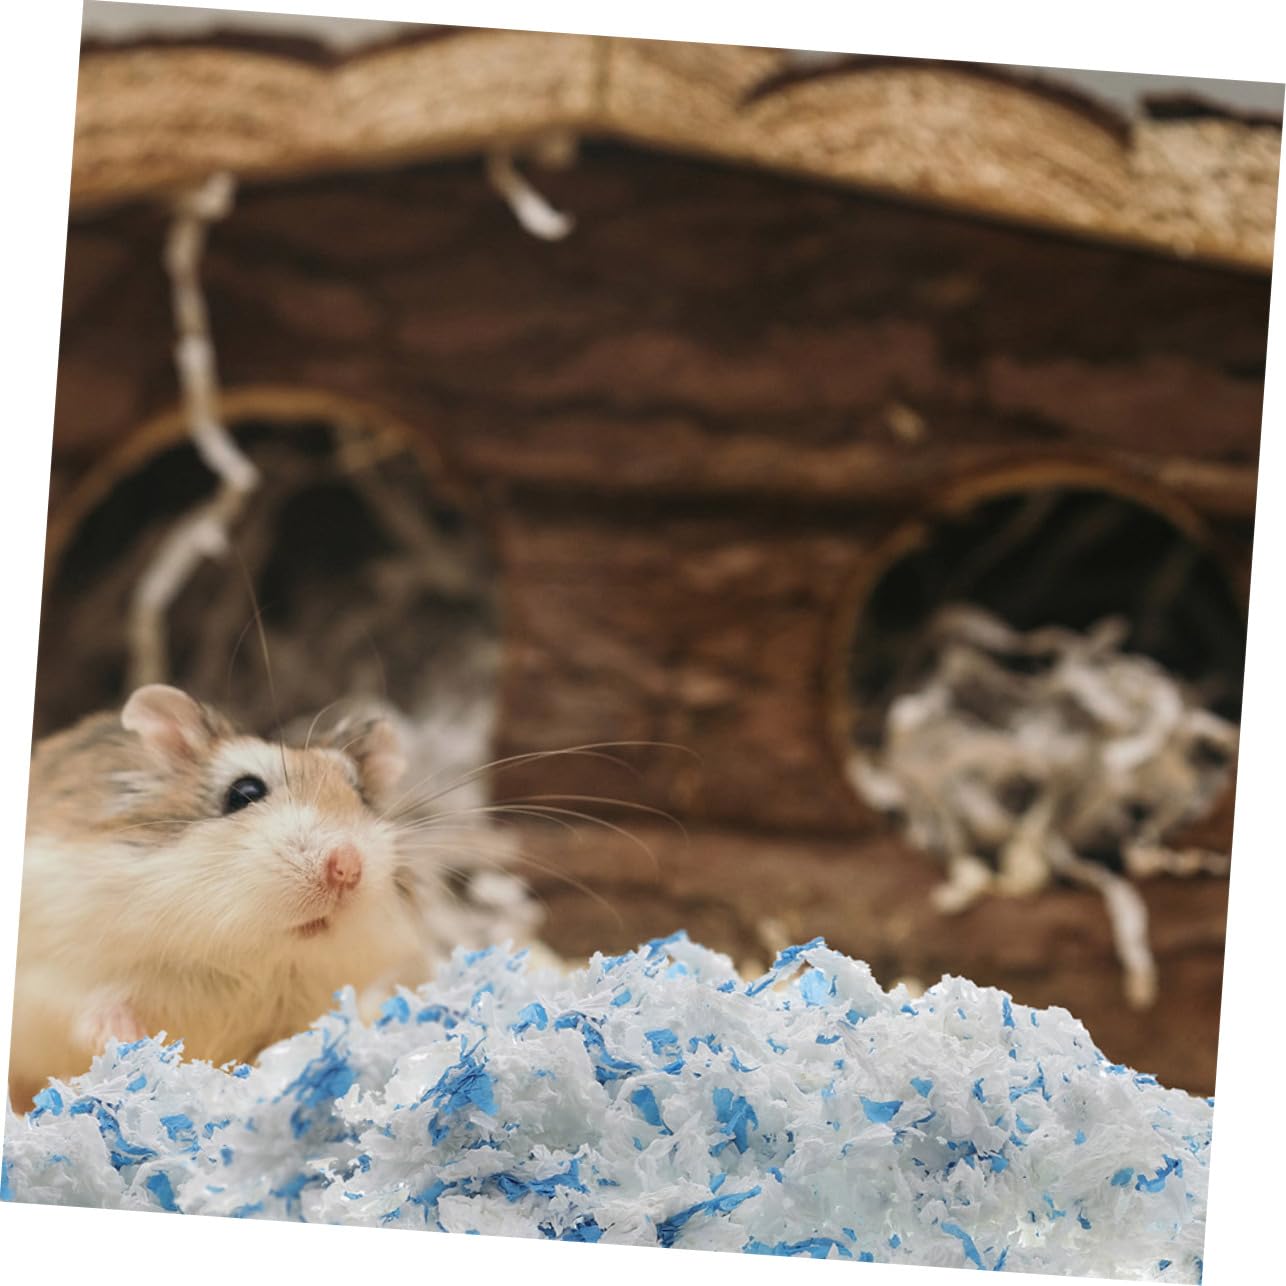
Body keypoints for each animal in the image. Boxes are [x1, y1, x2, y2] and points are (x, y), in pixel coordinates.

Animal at [9, 684, 441, 1112]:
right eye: (244, 792)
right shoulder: (54, 976)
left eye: (361, 796)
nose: (347, 868)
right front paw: (136, 1043)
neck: (249, 960)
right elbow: (90, 1009)